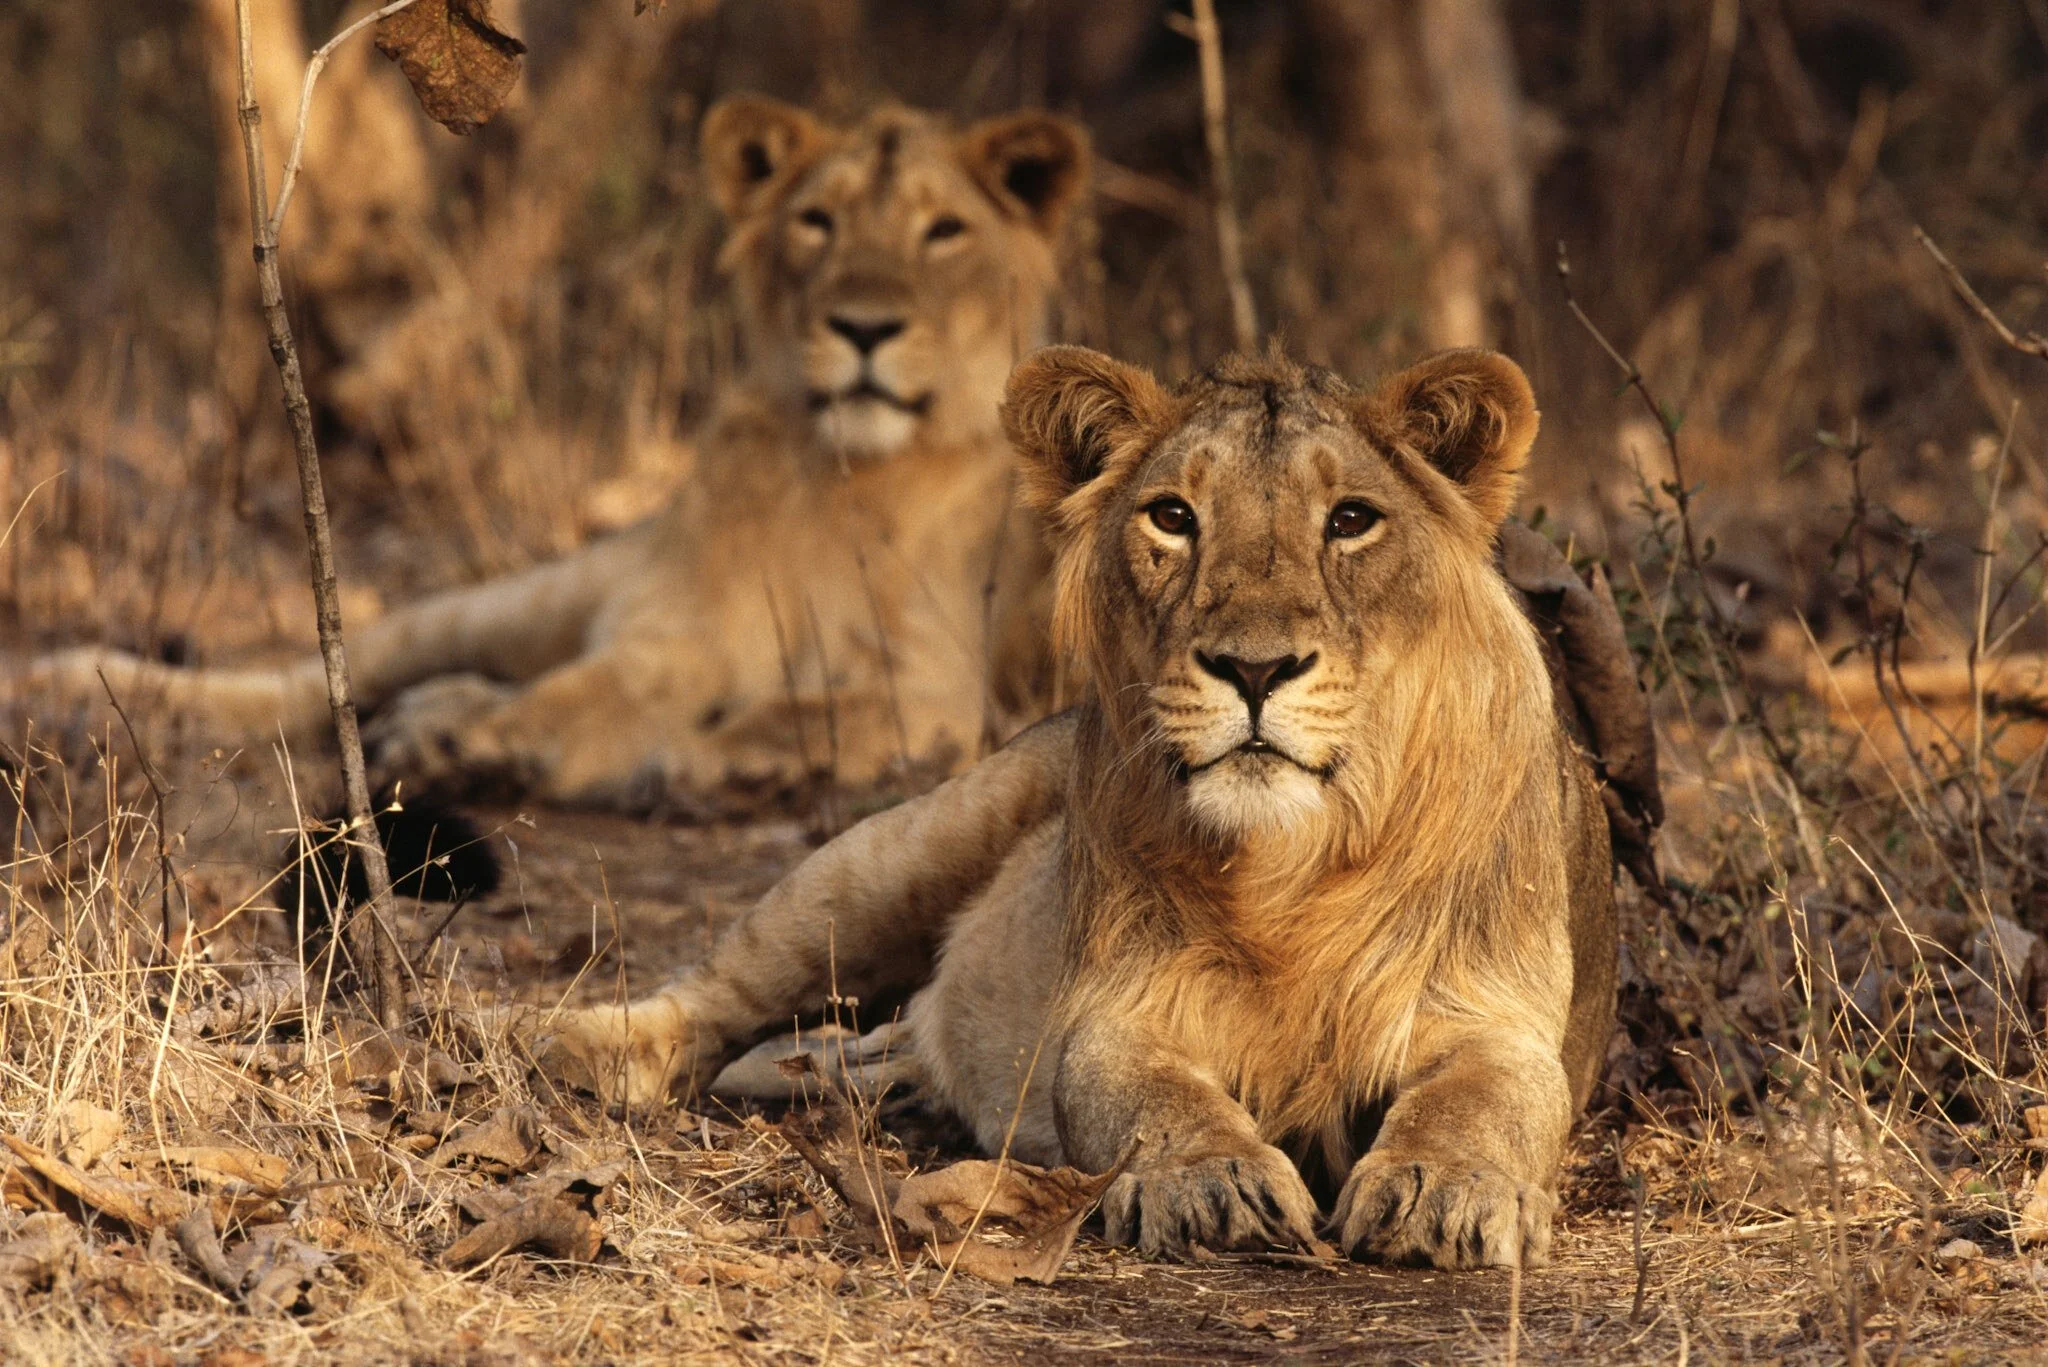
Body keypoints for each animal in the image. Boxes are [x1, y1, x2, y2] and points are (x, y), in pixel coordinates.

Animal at [26, 98, 1088, 810]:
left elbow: (813, 709)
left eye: (944, 231)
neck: (840, 477)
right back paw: (71, 686)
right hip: (522, 597)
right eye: (815, 222)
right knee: (321, 675)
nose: (864, 327)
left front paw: (721, 753)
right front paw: (490, 741)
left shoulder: (946, 681)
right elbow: (586, 692)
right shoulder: (675, 632)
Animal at [543, 342, 1621, 1270]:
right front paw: (1211, 1179)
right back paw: (570, 1044)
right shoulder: (1118, 1005)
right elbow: (1147, 1095)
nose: (1253, 667)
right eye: (1173, 516)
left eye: (1351, 519)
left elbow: (1486, 1098)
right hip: (894, 855)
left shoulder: (1496, 1012)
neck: (1293, 866)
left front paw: (1445, 1187)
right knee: (722, 987)